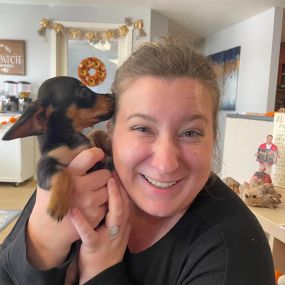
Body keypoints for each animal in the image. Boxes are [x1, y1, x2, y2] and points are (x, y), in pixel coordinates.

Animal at [2, 76, 114, 221]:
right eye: (84, 92)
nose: (113, 96)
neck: (70, 137)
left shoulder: (96, 156)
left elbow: (96, 137)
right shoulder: (45, 166)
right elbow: (62, 173)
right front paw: (58, 204)